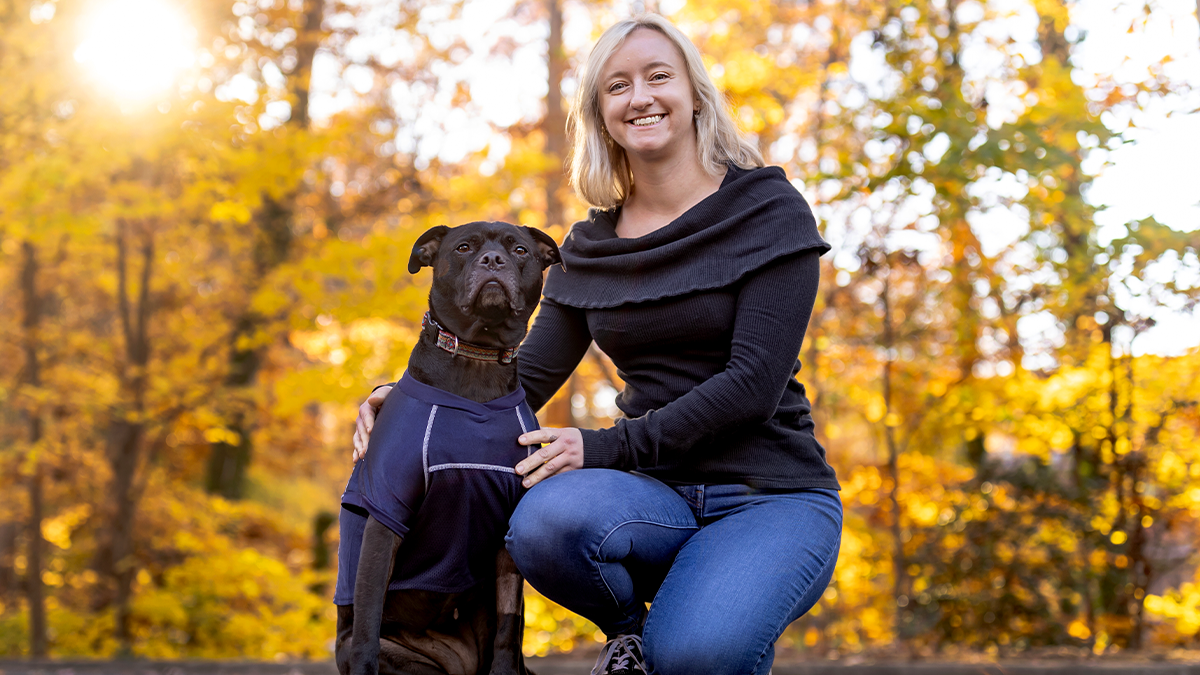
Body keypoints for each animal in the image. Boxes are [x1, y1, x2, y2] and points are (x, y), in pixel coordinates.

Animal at [331, 222, 559, 672]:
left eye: (520, 250)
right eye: (464, 247)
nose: (493, 260)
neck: (478, 360)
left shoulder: (508, 536)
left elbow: (510, 626)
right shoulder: (385, 516)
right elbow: (368, 620)